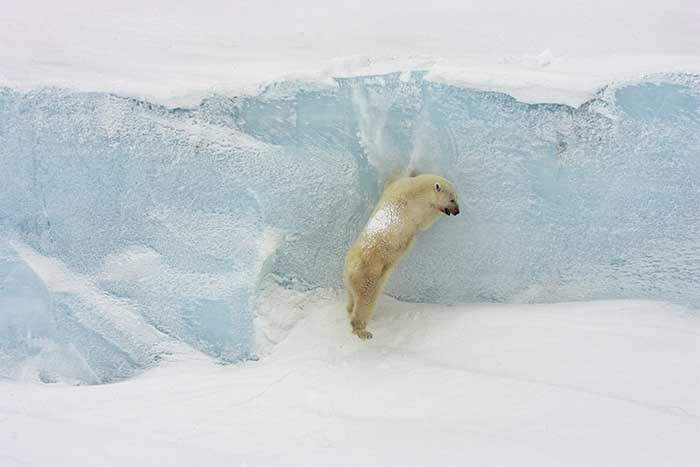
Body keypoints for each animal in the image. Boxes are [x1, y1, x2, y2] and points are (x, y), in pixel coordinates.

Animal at [344, 175, 460, 340]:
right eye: (452, 199)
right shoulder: (417, 208)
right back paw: (363, 331)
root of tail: (350, 267)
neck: (416, 188)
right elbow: (425, 222)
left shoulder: (394, 187)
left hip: (352, 278)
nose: (457, 211)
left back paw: (349, 309)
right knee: (365, 301)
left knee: (351, 297)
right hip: (369, 275)